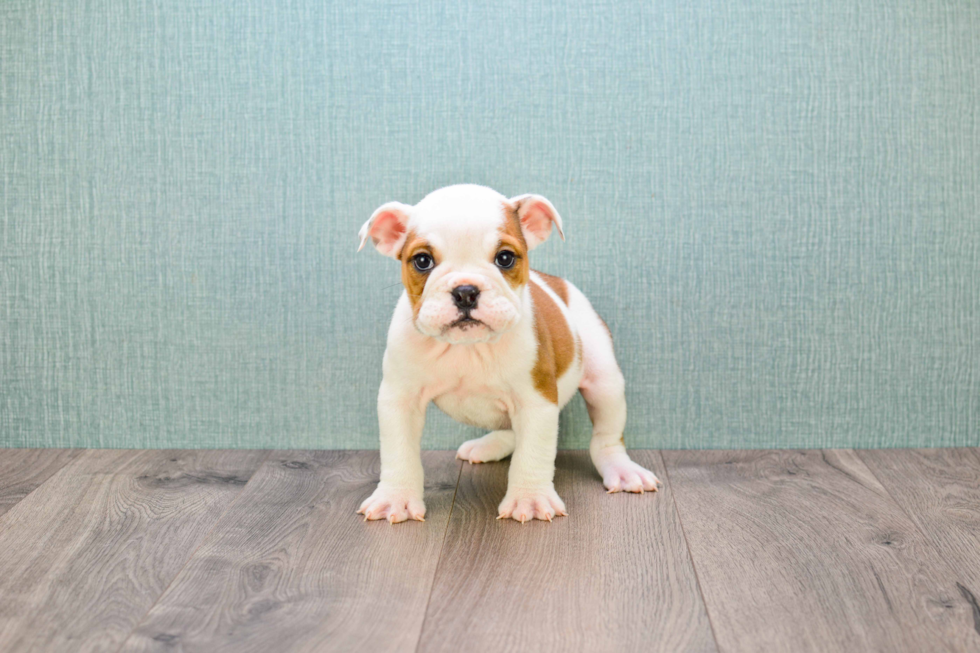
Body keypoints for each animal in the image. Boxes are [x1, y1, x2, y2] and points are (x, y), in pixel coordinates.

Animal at [352, 185, 660, 524]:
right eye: (422, 261)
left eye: (505, 258)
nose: (465, 291)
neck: (468, 347)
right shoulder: (400, 400)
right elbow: (399, 452)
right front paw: (395, 498)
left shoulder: (536, 400)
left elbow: (533, 452)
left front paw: (531, 498)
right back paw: (490, 445)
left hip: (604, 381)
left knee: (607, 436)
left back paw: (622, 469)